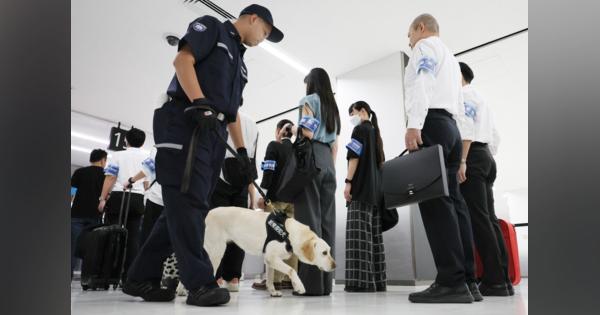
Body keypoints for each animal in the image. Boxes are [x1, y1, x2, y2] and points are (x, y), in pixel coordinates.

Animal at [178, 206, 338, 298]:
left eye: (330, 251)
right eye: (324, 253)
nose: (334, 266)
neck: (288, 233)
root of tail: (208, 213)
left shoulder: (269, 260)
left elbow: (270, 278)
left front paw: (273, 292)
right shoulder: (273, 258)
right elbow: (292, 270)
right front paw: (299, 286)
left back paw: (181, 291)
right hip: (216, 252)